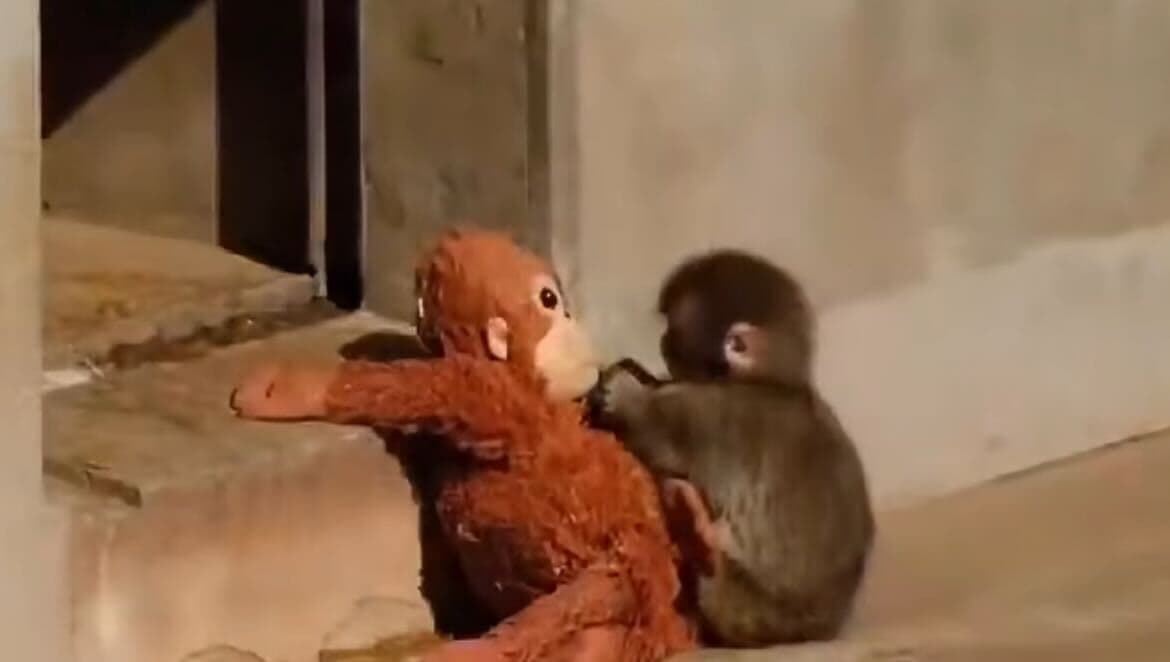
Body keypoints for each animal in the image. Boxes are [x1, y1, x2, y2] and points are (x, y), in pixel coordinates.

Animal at [588, 249, 876, 648]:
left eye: (673, 330)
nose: (662, 339)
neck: (774, 381)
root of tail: (815, 629)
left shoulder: (716, 412)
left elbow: (658, 431)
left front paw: (628, 396)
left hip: (741, 603)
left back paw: (697, 533)